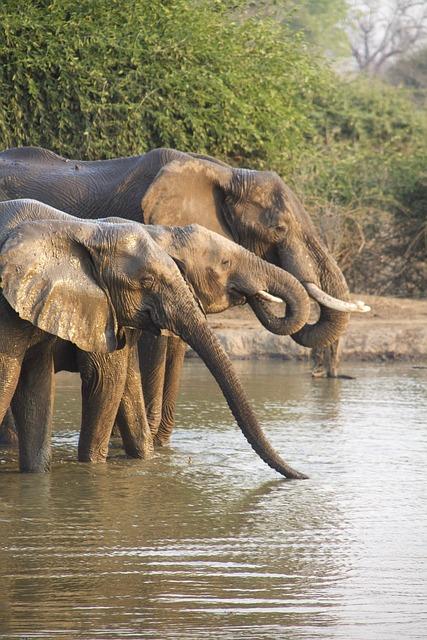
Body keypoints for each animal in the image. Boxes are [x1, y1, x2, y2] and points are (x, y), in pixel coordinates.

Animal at [0, 198, 308, 478]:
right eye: (225, 262)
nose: (304, 475)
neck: (85, 231)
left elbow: (123, 382)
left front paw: (147, 462)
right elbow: (105, 379)